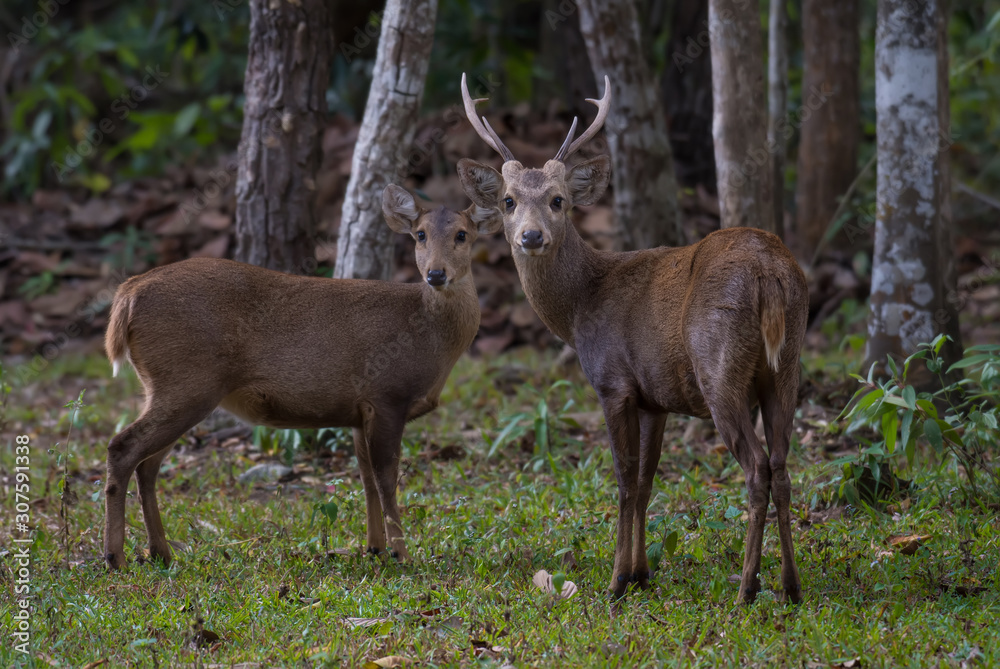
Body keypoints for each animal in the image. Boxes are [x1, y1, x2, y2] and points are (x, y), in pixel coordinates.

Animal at [101, 187, 500, 568]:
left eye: (462, 234)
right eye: (420, 234)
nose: (436, 274)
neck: (429, 334)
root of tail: (128, 293)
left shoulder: (360, 411)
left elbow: (366, 478)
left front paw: (374, 548)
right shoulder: (388, 395)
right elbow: (386, 479)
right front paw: (402, 554)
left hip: (169, 387)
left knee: (147, 465)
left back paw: (160, 553)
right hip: (186, 382)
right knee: (123, 447)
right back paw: (115, 558)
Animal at [458, 74, 808, 604]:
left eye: (558, 200)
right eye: (508, 201)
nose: (531, 237)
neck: (582, 305)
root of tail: (770, 271)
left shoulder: (614, 383)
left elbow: (623, 480)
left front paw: (617, 580)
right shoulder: (654, 398)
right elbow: (646, 481)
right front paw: (643, 573)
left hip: (718, 365)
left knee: (757, 469)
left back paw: (747, 588)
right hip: (785, 366)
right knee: (784, 467)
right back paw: (790, 585)